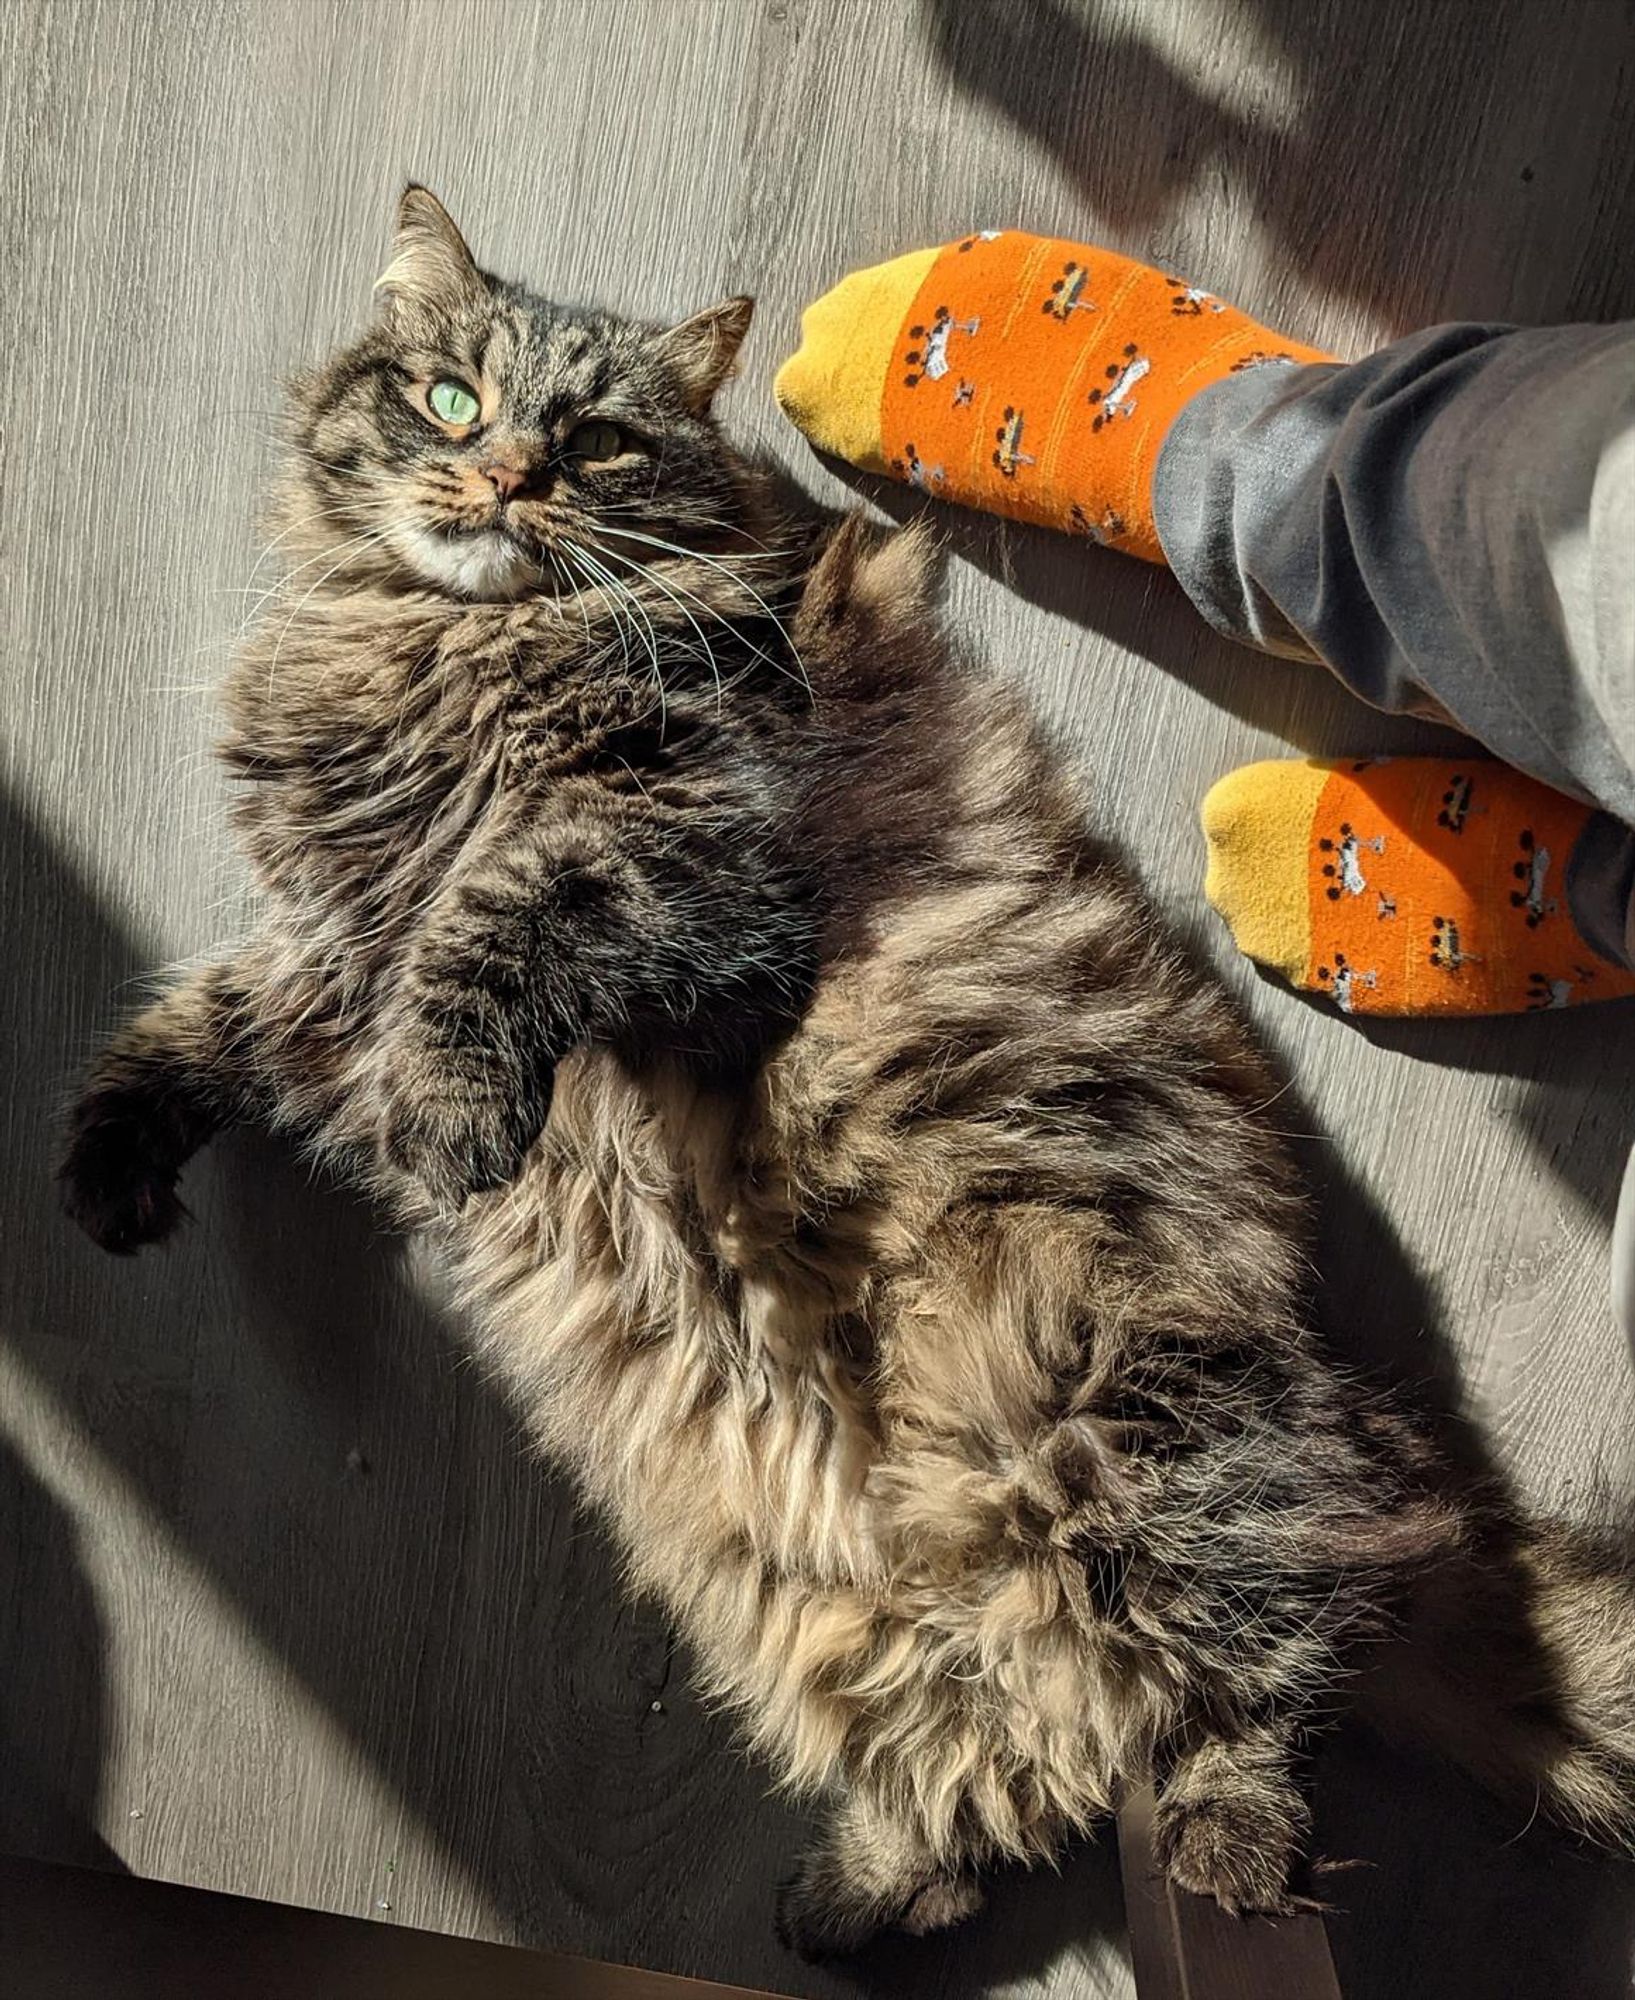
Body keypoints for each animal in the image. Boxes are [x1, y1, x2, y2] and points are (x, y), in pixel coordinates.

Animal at [60, 191, 1631, 1952]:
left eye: (595, 443)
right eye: (453, 402)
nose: (508, 478)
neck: (445, 641)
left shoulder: (710, 897)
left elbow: (506, 905)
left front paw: (451, 1121)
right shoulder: (328, 963)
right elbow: (206, 1019)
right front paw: (112, 1164)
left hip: (1144, 1423)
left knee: (1236, 1700)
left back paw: (1219, 1856)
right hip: (852, 1626)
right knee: (1002, 1795)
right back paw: (846, 1903)